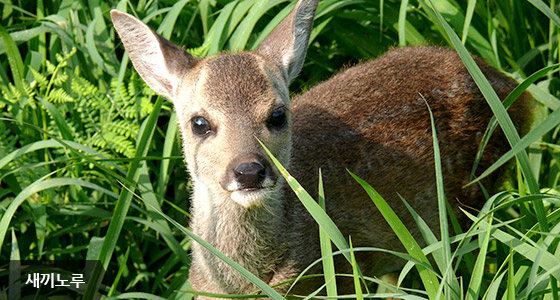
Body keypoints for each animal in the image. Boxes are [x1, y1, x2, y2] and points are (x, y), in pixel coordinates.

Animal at [111, 0, 532, 296]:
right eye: (199, 123)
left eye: (278, 114)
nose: (249, 170)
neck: (246, 282)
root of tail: (511, 86)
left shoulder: (340, 273)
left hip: (471, 197)